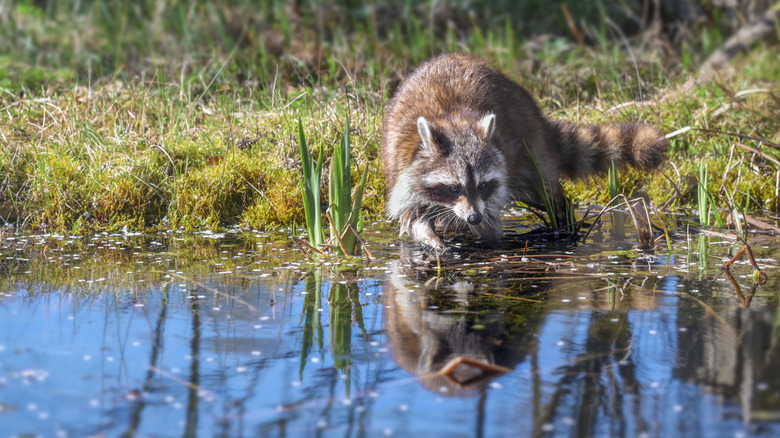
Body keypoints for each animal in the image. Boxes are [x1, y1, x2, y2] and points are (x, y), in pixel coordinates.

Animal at [381, 53, 667, 249]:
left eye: (483, 185)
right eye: (453, 187)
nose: (473, 217)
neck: (453, 122)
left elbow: (491, 220)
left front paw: (490, 240)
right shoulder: (403, 167)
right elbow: (412, 216)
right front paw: (431, 239)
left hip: (526, 146)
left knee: (542, 188)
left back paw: (563, 221)